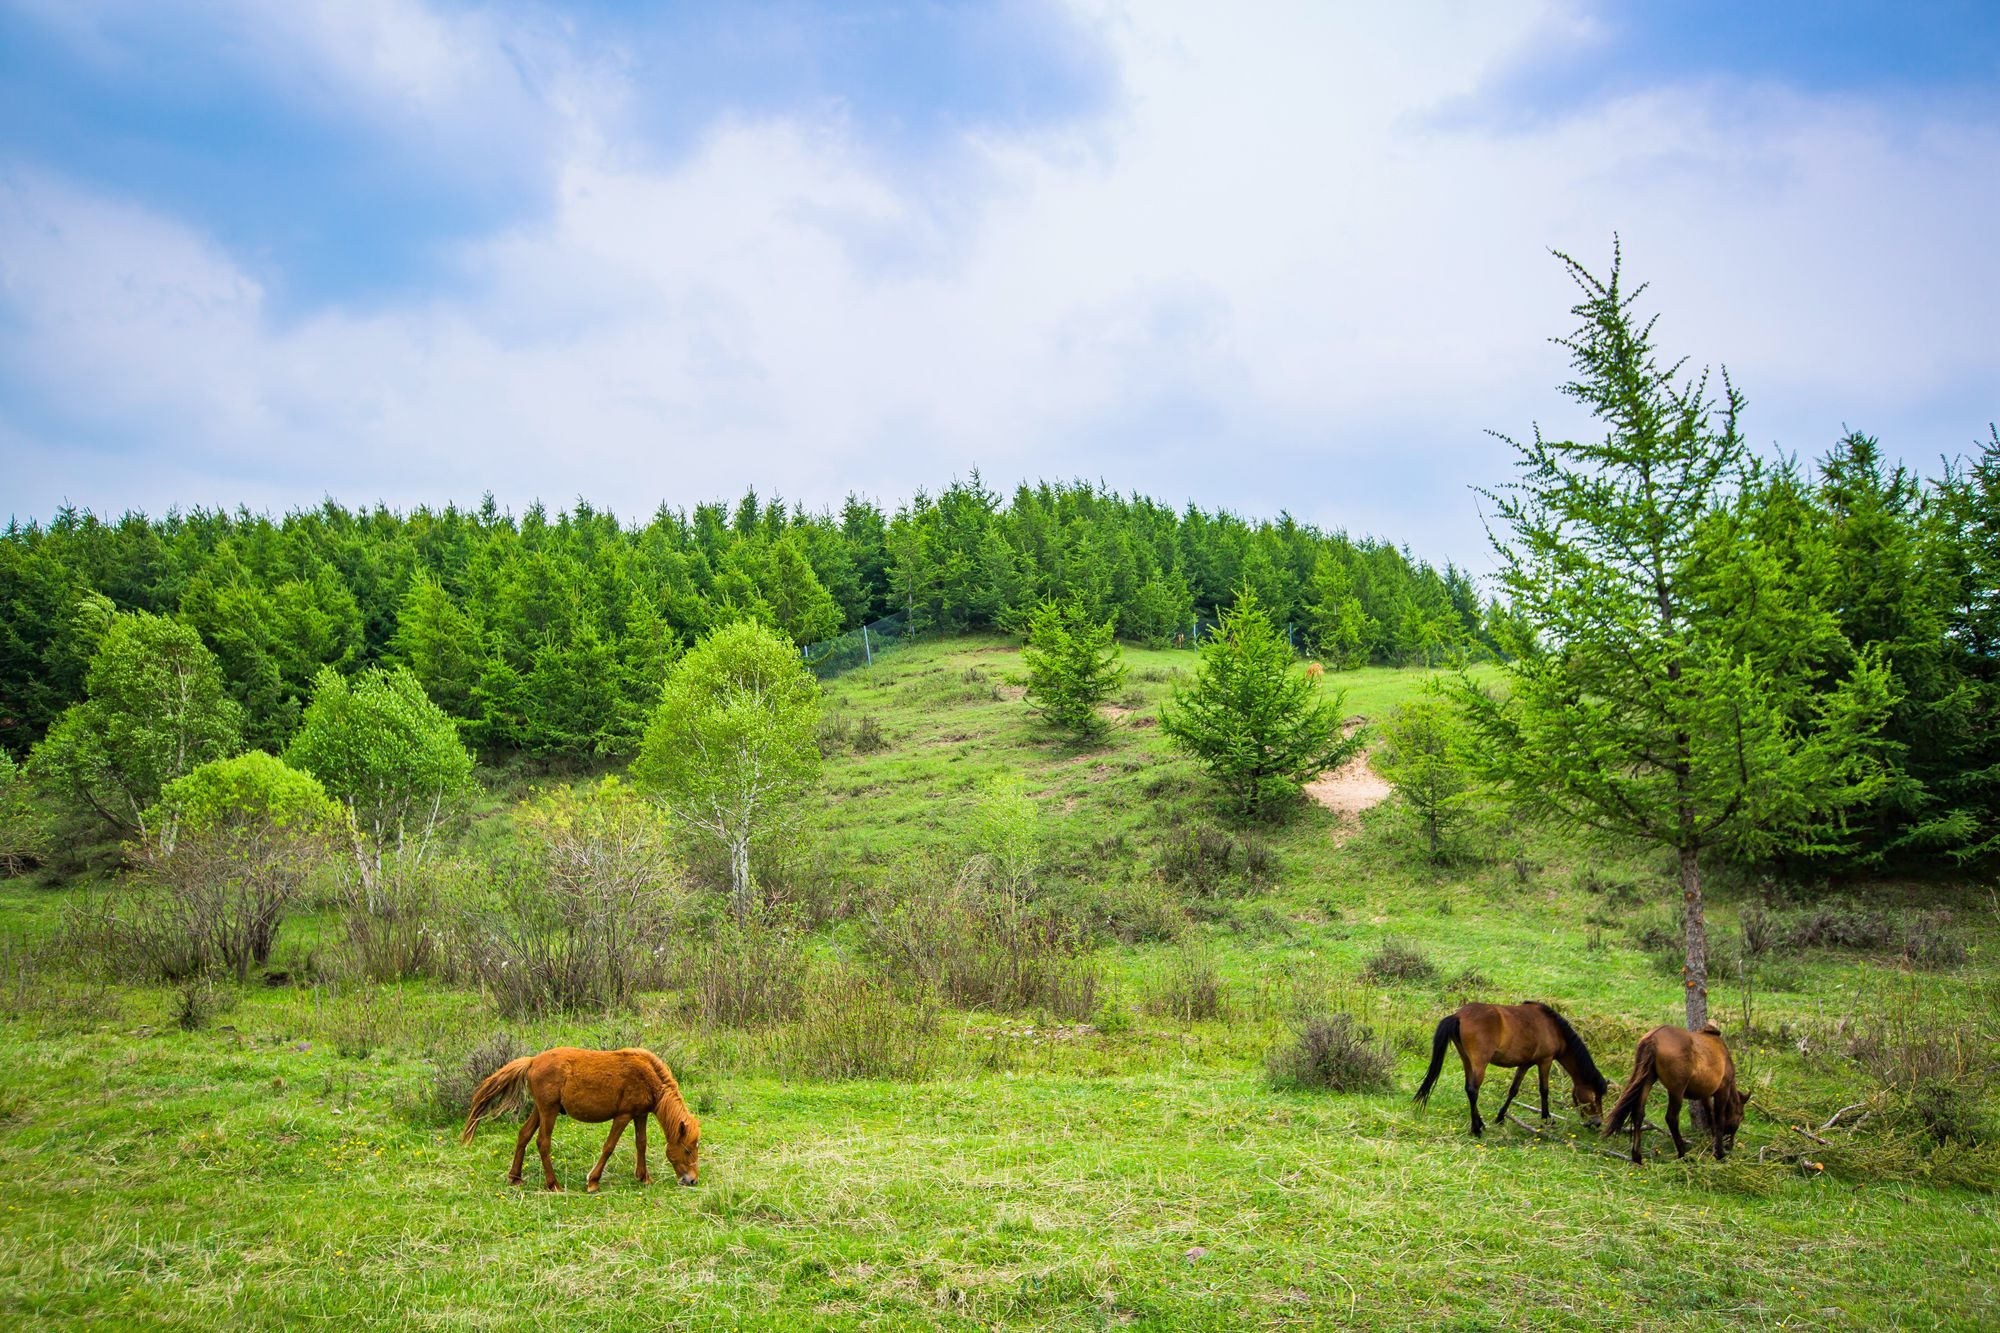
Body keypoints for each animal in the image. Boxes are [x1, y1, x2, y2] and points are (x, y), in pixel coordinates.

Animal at [462, 1040, 704, 1184]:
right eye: (688, 1150)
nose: (692, 1180)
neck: (647, 1075)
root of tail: (532, 1061)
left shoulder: (639, 1115)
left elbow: (641, 1144)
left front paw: (643, 1177)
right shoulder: (623, 1116)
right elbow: (609, 1146)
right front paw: (593, 1180)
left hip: (540, 1110)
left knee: (524, 1135)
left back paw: (515, 1177)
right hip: (548, 1111)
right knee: (542, 1142)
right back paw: (553, 1185)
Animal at [1408, 996, 1608, 1128]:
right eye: (1595, 1097)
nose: (1598, 1122)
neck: (1553, 1028)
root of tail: (1459, 1015)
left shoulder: (1525, 1063)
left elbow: (1513, 1090)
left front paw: (1500, 1117)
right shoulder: (1545, 1061)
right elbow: (1544, 1090)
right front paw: (1547, 1118)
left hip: (1466, 1059)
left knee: (1468, 1087)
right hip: (1480, 1063)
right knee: (1473, 1090)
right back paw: (1477, 1128)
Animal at [1600, 1020, 1744, 1160]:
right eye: (1741, 1117)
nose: (1730, 1145)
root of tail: (1651, 1039)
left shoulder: (1705, 1094)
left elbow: (1710, 1116)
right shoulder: (1723, 1088)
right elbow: (1719, 1119)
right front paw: (1719, 1152)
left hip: (1648, 1078)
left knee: (1638, 1112)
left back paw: (1637, 1156)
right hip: (1677, 1088)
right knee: (1671, 1117)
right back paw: (1682, 1153)